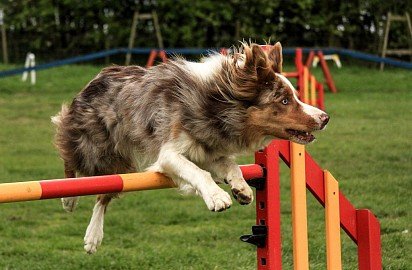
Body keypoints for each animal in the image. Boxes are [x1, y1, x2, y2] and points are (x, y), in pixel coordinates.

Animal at [51, 42, 328, 253]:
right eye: (284, 101)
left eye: (296, 95)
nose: (325, 118)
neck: (217, 104)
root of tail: (99, 75)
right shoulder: (169, 153)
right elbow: (199, 173)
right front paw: (217, 196)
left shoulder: (208, 149)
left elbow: (230, 165)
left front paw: (241, 187)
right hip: (93, 145)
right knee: (71, 159)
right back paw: (69, 199)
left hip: (120, 161)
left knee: (104, 195)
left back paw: (93, 236)